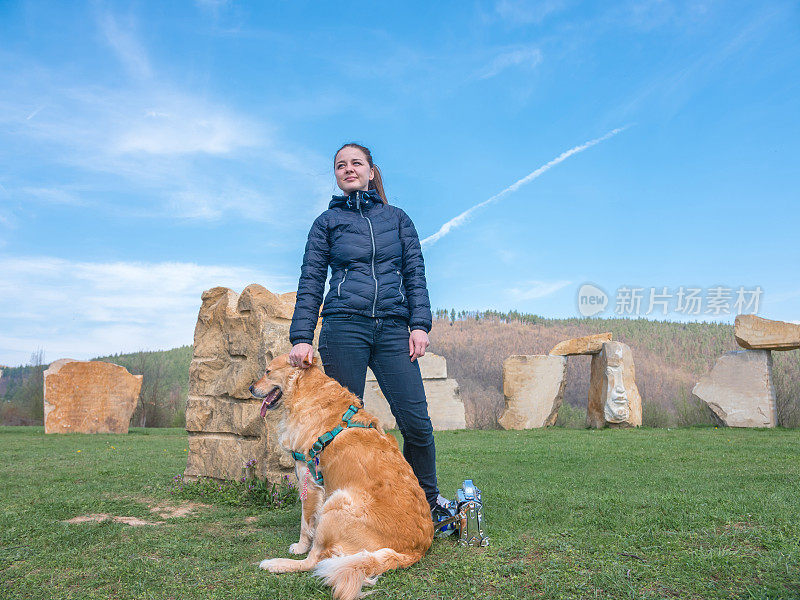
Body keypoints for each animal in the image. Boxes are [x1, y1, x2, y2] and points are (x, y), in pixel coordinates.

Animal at [253, 354, 434, 600]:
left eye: (268, 371)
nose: (251, 388)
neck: (306, 390)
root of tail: (414, 551)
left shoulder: (308, 476)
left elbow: (305, 523)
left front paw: (300, 546)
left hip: (337, 503)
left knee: (313, 561)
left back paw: (275, 564)